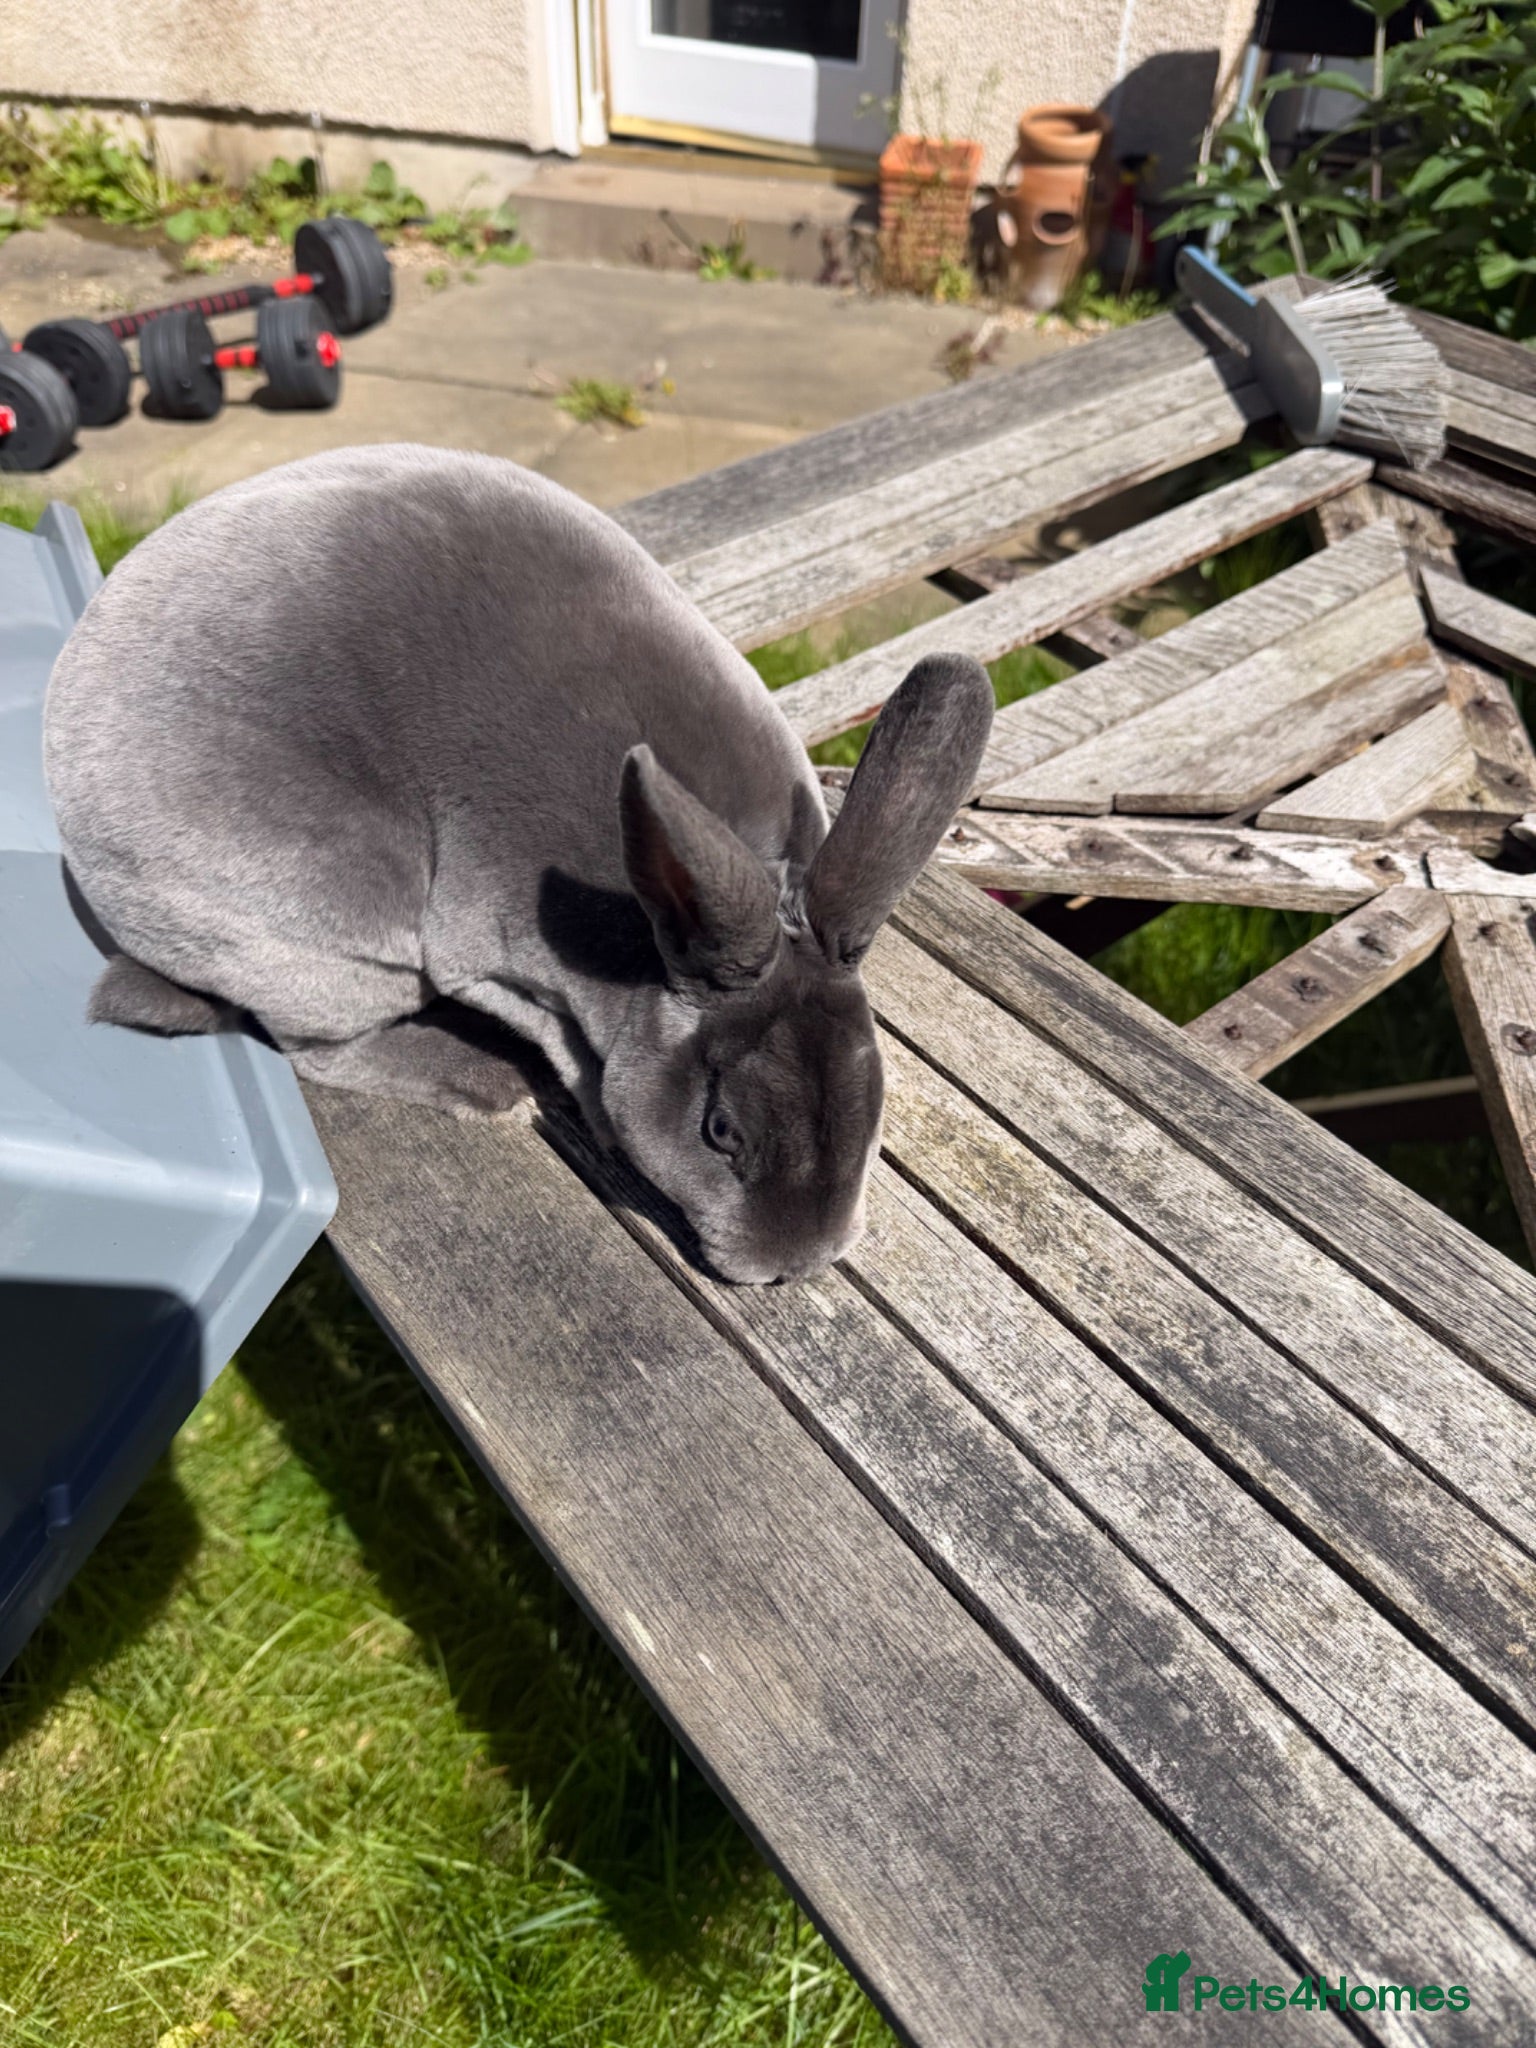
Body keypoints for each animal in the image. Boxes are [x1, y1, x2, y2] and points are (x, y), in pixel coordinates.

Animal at [44, 444, 993, 1285]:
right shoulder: (487, 959)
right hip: (328, 951)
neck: (640, 948)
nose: (796, 1265)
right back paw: (480, 1080)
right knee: (313, 1048)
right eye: (721, 1132)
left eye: (874, 1104)